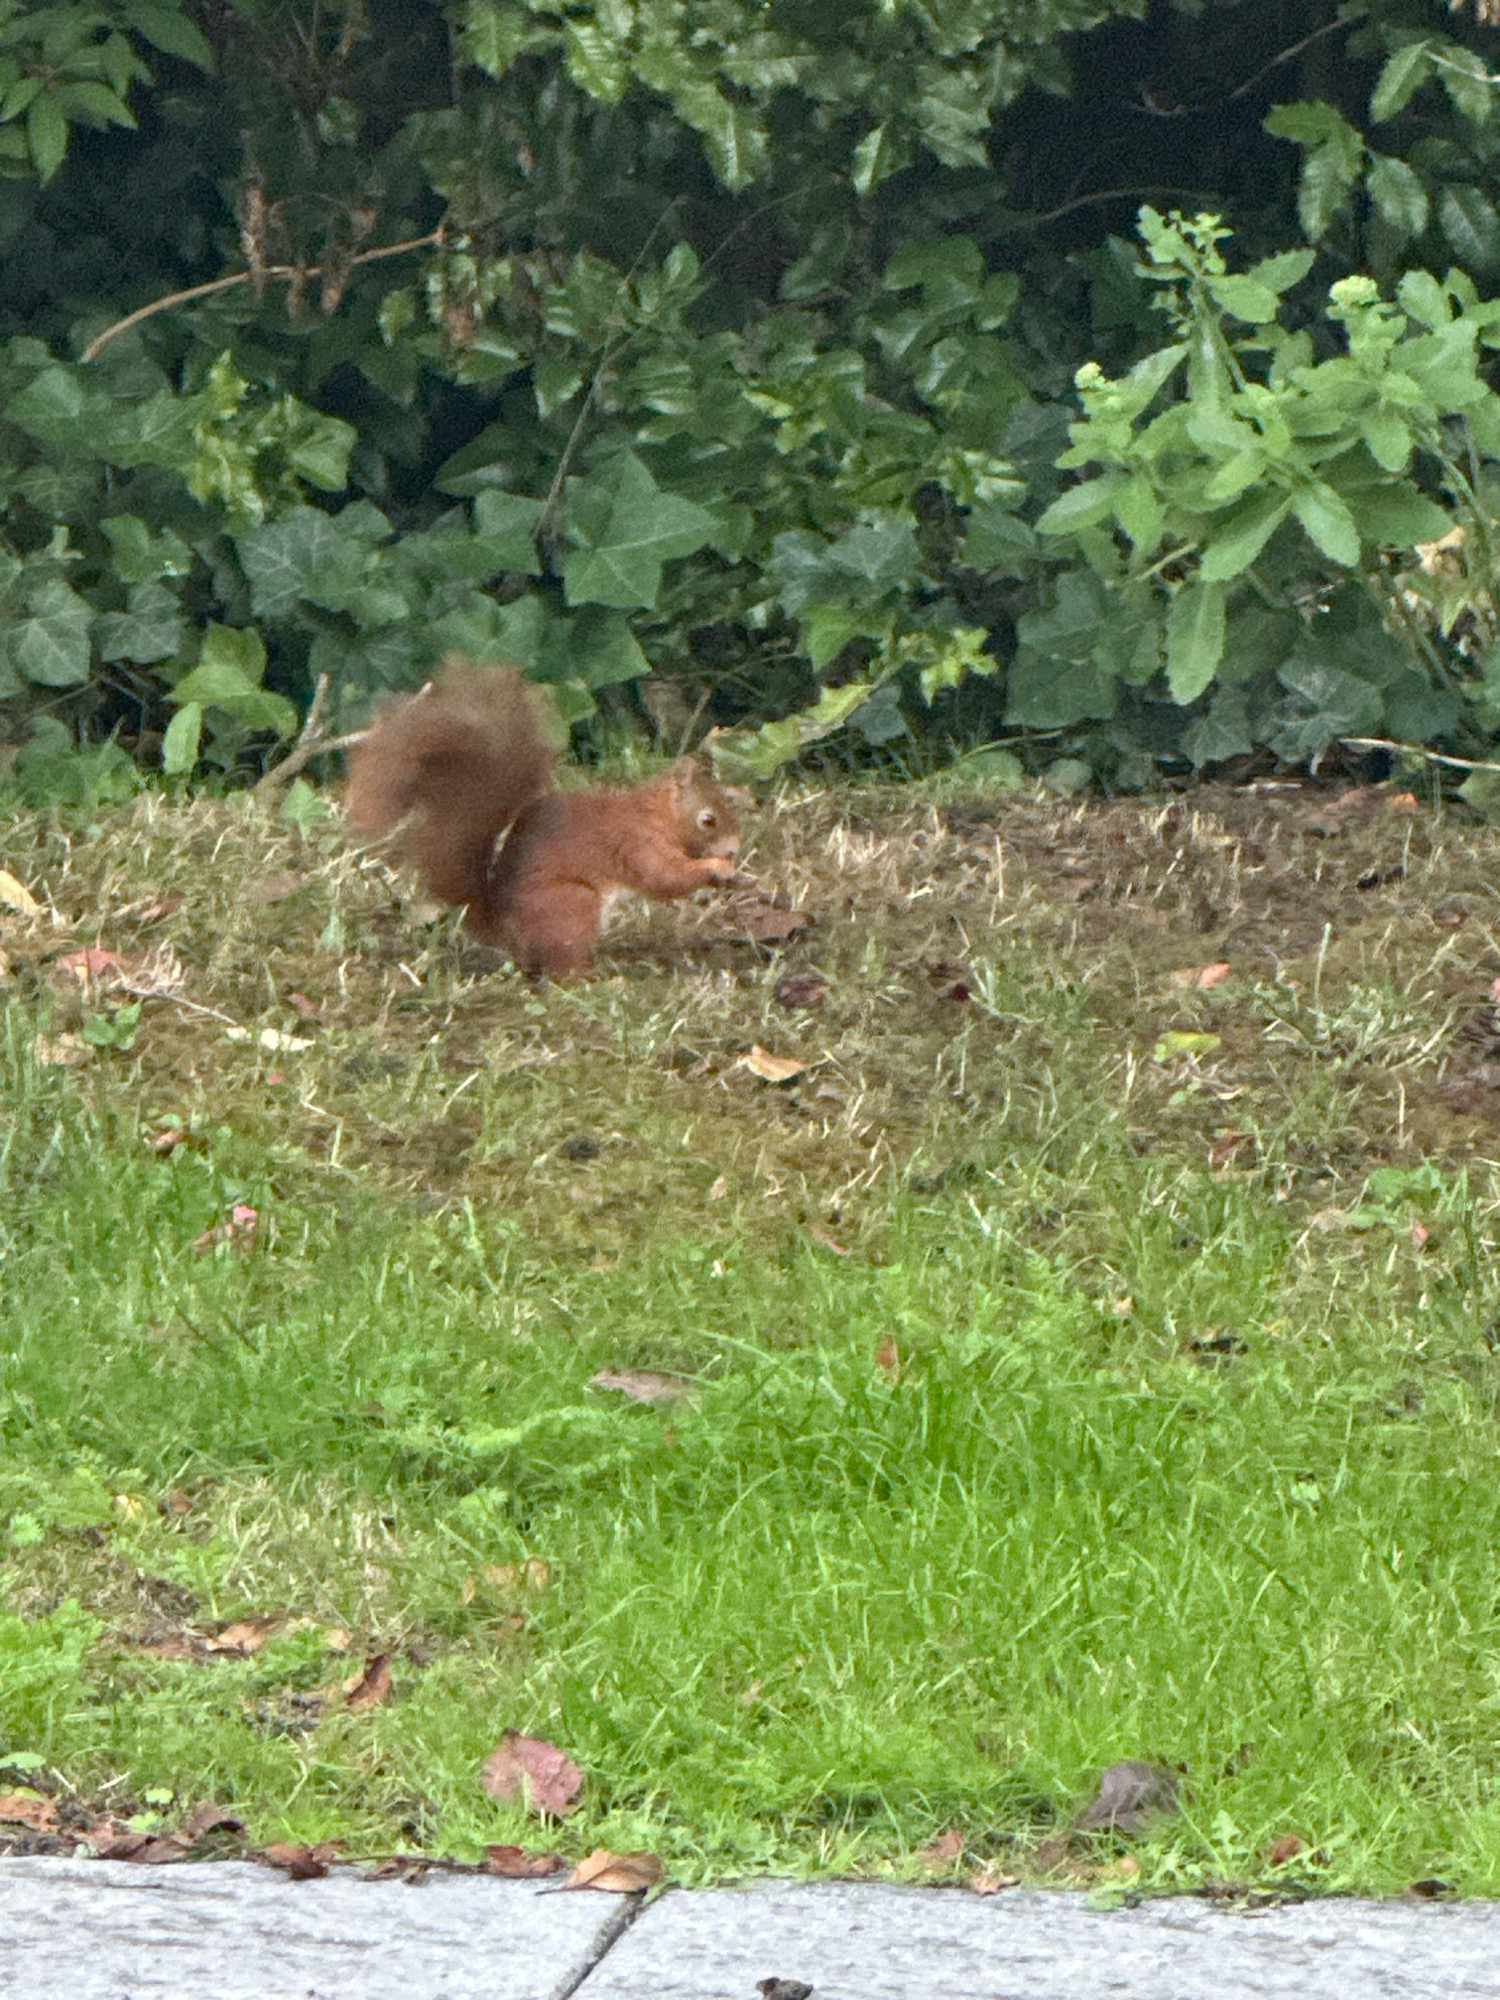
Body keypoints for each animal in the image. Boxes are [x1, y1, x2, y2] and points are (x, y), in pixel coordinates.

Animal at [345, 657, 745, 976]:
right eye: (708, 819)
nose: (735, 848)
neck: (655, 816)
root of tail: (505, 930)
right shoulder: (635, 843)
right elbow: (664, 878)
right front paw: (715, 867)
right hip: (573, 905)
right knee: (558, 964)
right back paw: (593, 975)